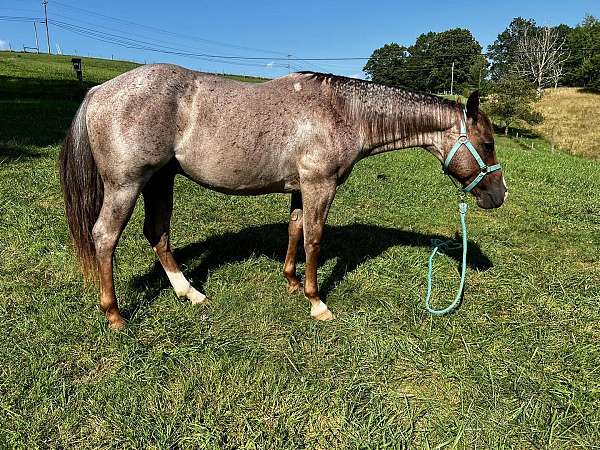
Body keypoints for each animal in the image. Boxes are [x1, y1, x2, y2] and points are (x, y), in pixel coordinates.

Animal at [58, 64, 506, 330]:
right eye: (486, 144)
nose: (498, 195)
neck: (343, 112)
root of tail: (99, 90)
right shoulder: (320, 186)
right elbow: (314, 239)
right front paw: (316, 302)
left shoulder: (300, 189)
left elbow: (294, 232)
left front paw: (291, 282)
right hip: (126, 185)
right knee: (105, 237)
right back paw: (115, 315)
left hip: (160, 181)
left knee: (158, 234)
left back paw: (191, 293)